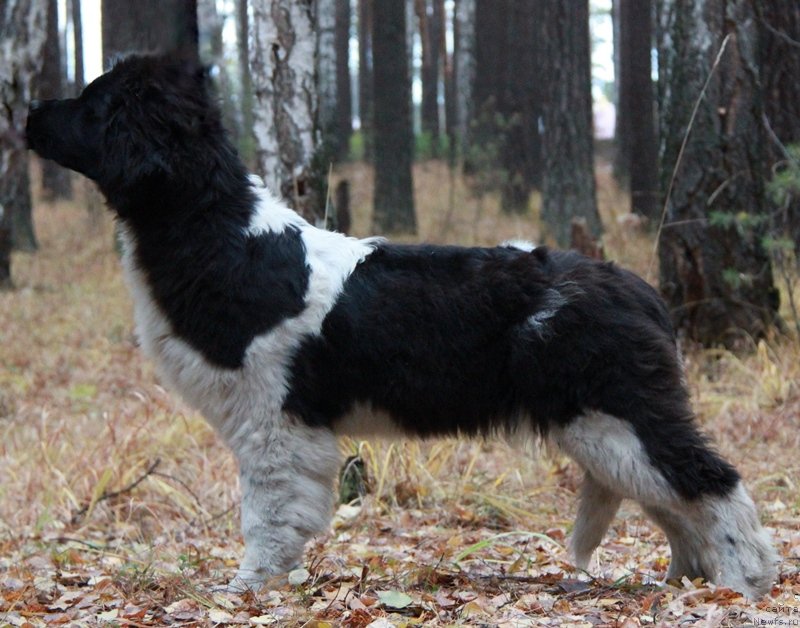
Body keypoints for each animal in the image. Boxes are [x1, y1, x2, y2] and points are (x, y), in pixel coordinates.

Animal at [28, 55, 780, 600]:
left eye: (92, 102)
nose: (30, 112)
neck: (219, 232)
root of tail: (635, 286)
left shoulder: (275, 422)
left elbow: (266, 515)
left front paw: (247, 589)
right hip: (605, 429)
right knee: (674, 500)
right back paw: (687, 580)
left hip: (615, 414)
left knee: (710, 480)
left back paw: (741, 584)